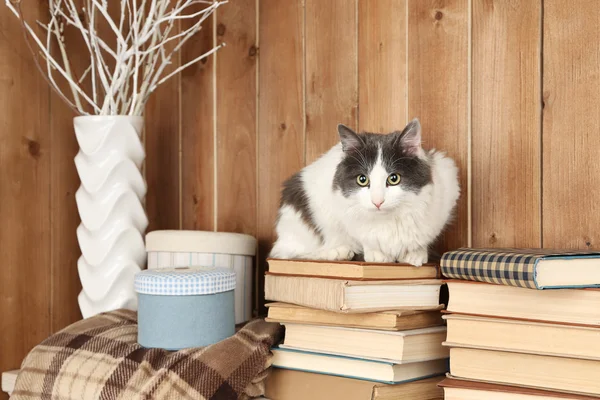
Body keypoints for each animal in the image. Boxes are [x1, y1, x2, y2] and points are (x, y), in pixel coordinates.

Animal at [268, 120, 460, 268]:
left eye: (394, 178)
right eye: (362, 179)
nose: (377, 201)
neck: (388, 221)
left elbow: (420, 241)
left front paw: (416, 254)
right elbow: (365, 239)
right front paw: (376, 254)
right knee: (287, 253)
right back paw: (338, 252)